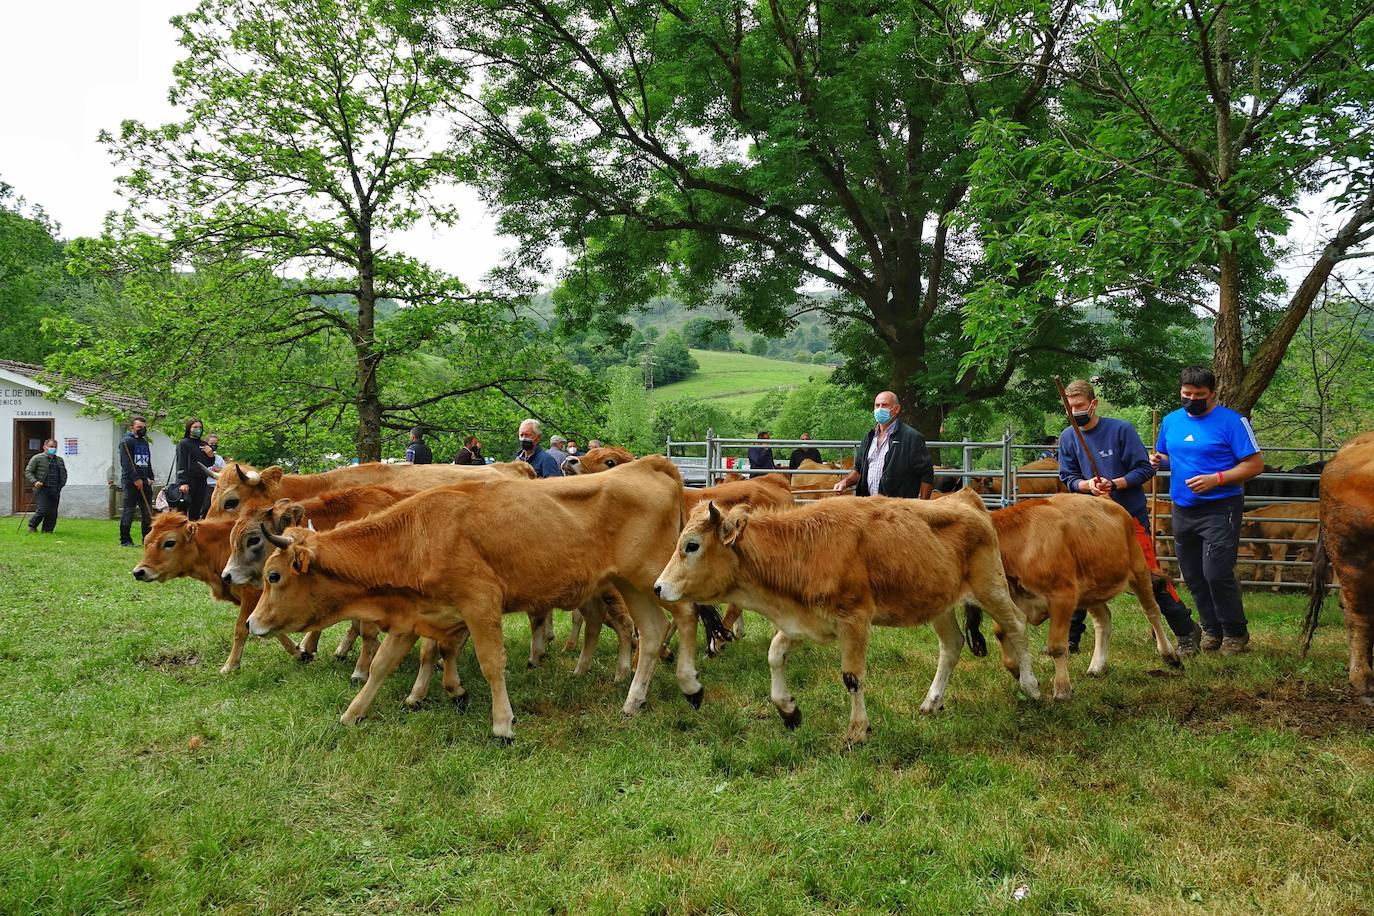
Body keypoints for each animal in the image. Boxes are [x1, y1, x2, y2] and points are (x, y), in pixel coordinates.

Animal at [131, 516, 306, 672]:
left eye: (169, 542)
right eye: (146, 541)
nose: (139, 572)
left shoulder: (251, 596)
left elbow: (242, 628)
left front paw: (230, 666)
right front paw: (300, 652)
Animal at [654, 491, 1038, 741]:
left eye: (691, 545)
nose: (658, 587)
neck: (805, 548)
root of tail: (966, 499)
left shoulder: (855, 621)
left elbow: (852, 677)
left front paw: (857, 731)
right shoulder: (803, 620)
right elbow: (774, 655)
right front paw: (788, 709)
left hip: (991, 588)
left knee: (1017, 626)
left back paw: (1031, 686)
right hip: (939, 605)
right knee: (952, 645)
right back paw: (931, 702)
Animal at [967, 494, 1181, 703]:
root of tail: (1108, 499)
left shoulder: (1063, 597)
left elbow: (1057, 646)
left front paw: (1062, 690)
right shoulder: (1011, 602)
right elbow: (1003, 639)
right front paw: (1022, 675)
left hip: (1139, 570)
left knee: (1152, 611)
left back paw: (1169, 654)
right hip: (1090, 589)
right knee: (1103, 620)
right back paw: (1097, 666)